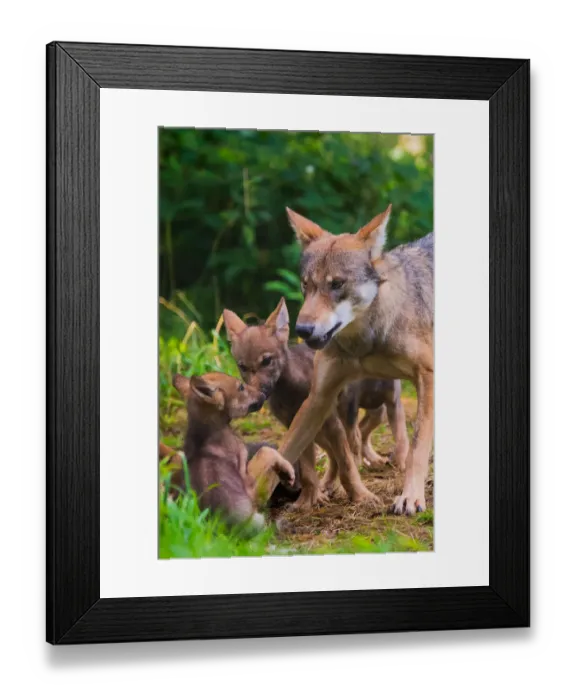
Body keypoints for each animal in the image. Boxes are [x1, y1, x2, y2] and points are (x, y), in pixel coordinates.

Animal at [278, 205, 434, 515]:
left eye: (337, 284)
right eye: (305, 285)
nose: (302, 330)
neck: (367, 340)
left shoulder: (427, 376)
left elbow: (417, 446)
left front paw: (410, 497)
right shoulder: (319, 396)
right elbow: (286, 449)